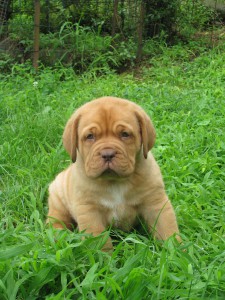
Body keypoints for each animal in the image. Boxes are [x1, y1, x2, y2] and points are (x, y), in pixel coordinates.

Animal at [46, 97, 180, 250]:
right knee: (55, 219)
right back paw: (59, 236)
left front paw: (177, 251)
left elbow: (167, 229)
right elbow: (99, 240)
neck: (115, 182)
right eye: (90, 136)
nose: (108, 154)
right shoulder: (89, 212)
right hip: (58, 198)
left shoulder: (155, 202)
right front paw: (104, 256)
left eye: (125, 134)